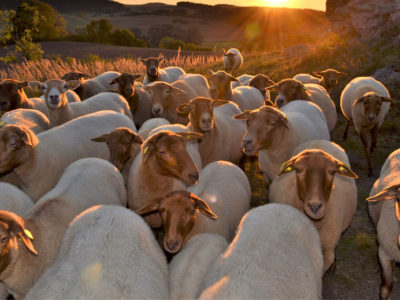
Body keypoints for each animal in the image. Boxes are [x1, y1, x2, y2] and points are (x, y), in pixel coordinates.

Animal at [268, 140, 360, 272]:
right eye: (297, 170)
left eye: (333, 172)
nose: (315, 207)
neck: (315, 224)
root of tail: (320, 141)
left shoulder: (328, 249)